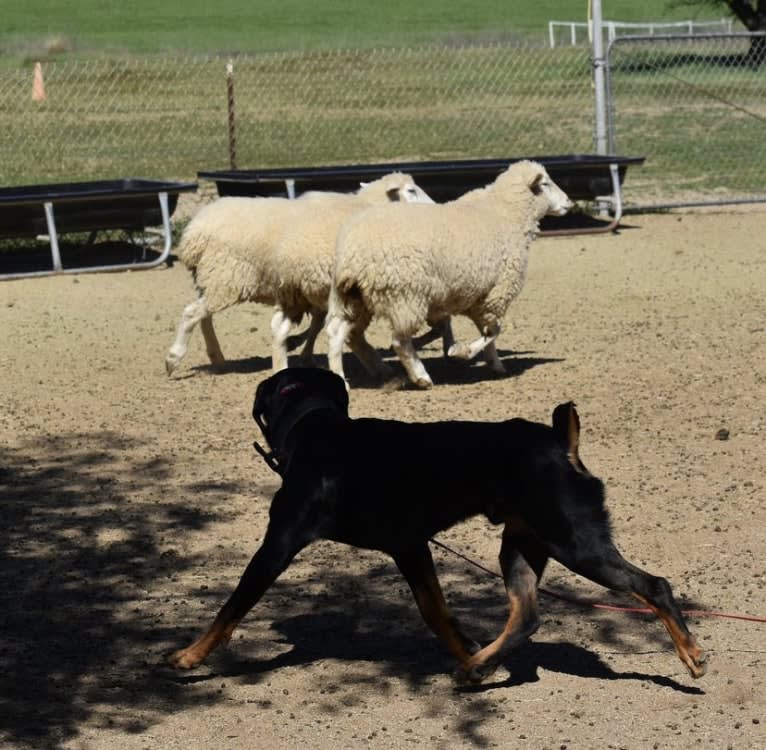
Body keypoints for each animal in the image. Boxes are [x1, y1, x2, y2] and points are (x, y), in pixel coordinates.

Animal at [162, 174, 438, 378]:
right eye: (411, 190)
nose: (436, 207)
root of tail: (193, 232)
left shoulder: (313, 287)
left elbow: (317, 323)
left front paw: (304, 351)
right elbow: (323, 324)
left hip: (214, 279)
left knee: (203, 316)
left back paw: (217, 358)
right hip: (227, 278)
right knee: (193, 313)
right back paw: (174, 358)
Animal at [168, 368, 708, 684]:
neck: (317, 429)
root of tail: (561, 443)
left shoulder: (276, 548)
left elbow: (230, 609)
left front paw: (190, 657)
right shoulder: (410, 546)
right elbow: (436, 611)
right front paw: (464, 646)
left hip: (576, 543)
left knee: (653, 586)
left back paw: (690, 654)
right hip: (520, 547)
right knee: (527, 616)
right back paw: (479, 663)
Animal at [328, 162, 572, 390]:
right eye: (545, 184)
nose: (569, 203)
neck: (505, 213)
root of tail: (354, 251)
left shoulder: (479, 296)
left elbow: (486, 331)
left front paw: (494, 363)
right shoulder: (497, 294)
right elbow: (493, 330)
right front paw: (462, 352)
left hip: (352, 298)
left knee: (336, 333)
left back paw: (340, 377)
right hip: (405, 295)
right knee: (399, 341)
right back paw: (421, 377)